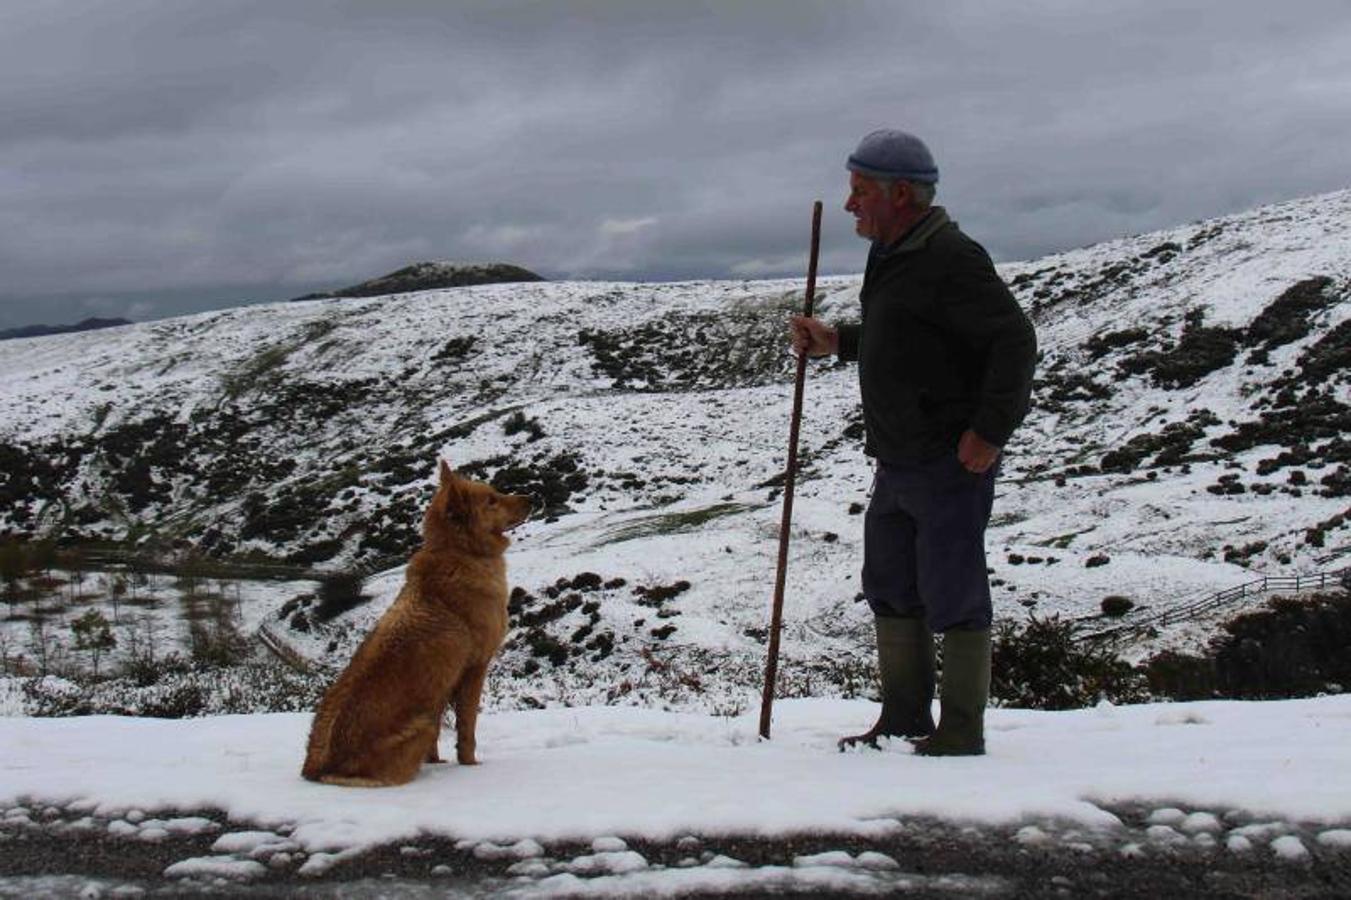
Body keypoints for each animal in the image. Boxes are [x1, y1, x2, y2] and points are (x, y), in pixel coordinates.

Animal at [303, 459, 529, 783]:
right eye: (491, 500)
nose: (533, 498)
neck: (460, 553)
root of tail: (318, 767)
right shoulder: (474, 668)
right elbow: (467, 730)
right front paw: (470, 765)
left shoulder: (444, 689)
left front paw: (438, 761)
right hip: (421, 724)